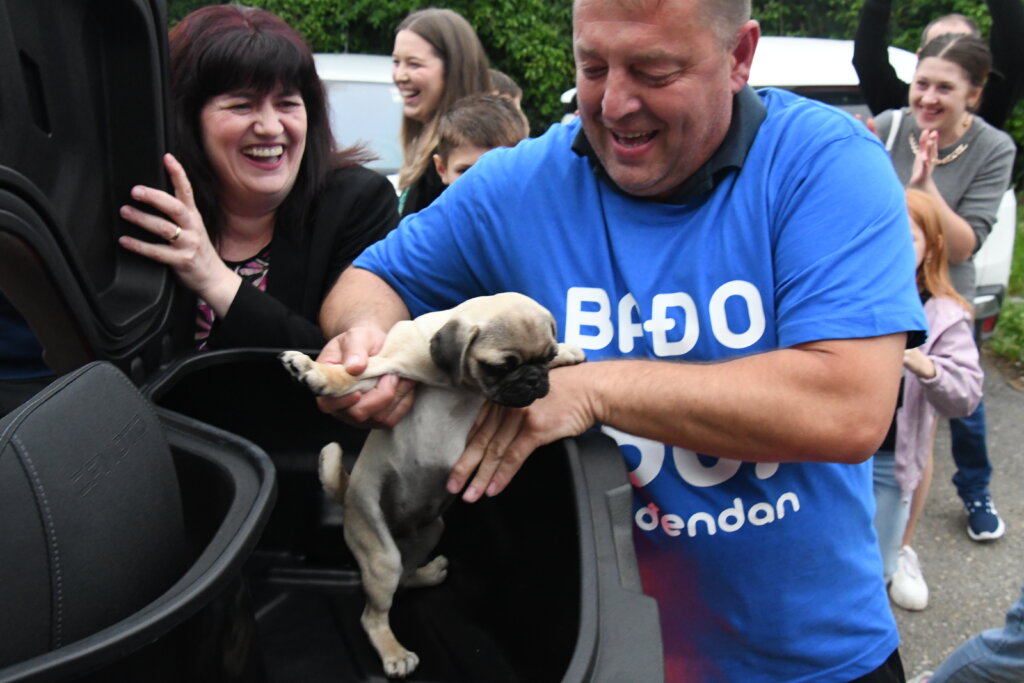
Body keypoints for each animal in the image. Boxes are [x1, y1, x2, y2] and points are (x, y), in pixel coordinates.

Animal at [280, 292, 585, 679]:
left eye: (543, 359)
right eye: (501, 366)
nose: (534, 379)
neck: (460, 383)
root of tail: (346, 496)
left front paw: (568, 351)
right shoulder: (390, 369)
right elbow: (354, 374)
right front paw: (316, 371)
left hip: (430, 531)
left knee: (406, 576)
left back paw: (428, 574)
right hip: (380, 555)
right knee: (374, 614)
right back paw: (394, 653)